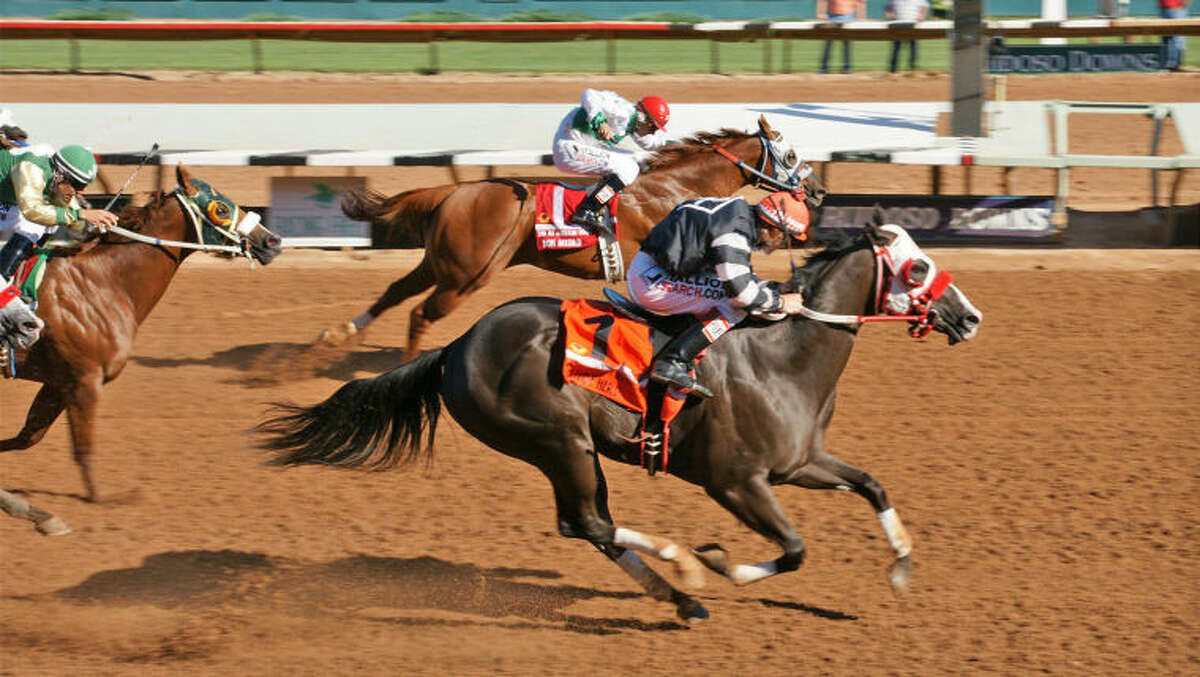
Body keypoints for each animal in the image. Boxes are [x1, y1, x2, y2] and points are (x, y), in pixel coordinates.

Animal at [0, 165, 284, 503]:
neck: (102, 283)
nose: (272, 240)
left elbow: (28, 436)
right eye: (222, 209)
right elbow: (83, 450)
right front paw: (106, 497)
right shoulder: (85, 382)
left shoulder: (60, 382)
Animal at [258, 216, 982, 620]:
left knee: (590, 525)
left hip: (561, 448)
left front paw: (901, 567)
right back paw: (686, 571)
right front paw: (721, 562)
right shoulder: (737, 482)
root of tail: (455, 347)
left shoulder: (801, 463)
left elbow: (872, 485)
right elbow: (795, 548)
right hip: (559, 439)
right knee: (590, 521)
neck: (783, 355)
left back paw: (681, 593)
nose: (970, 316)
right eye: (918, 265)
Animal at [320, 115, 826, 360]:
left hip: (441, 263)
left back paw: (336, 334)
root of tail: (456, 190)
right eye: (790, 154)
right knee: (420, 313)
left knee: (395, 291)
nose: (818, 190)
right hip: (466, 276)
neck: (674, 186)